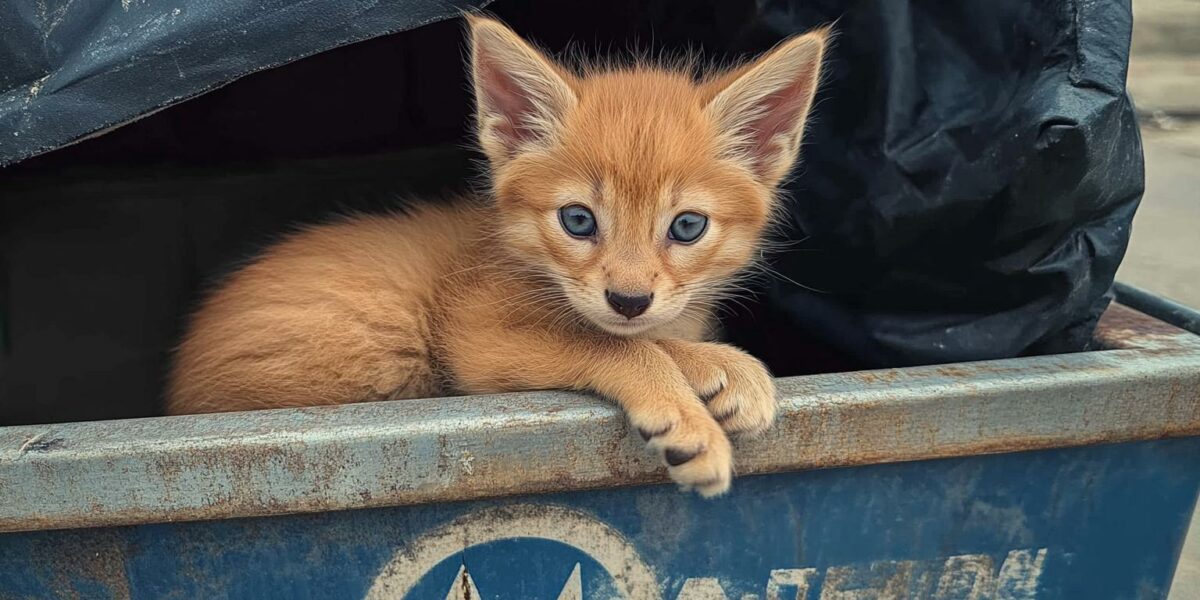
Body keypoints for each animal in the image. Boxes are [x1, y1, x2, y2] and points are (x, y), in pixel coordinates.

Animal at [166, 15, 825, 496]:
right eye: (578, 220)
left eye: (687, 227)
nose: (629, 299)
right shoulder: (479, 338)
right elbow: (613, 345)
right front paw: (692, 404)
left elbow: (640, 334)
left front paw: (724, 367)